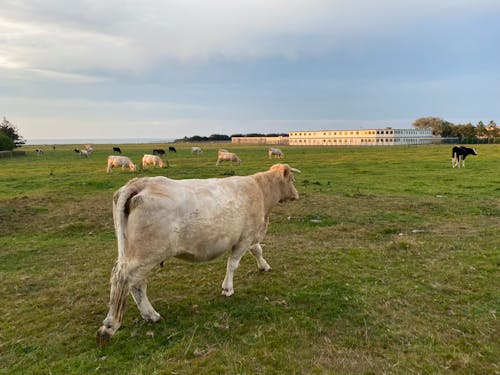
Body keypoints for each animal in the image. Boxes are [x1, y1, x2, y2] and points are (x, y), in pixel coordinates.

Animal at [96, 163, 300, 346]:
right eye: (292, 179)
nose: (297, 194)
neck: (260, 190)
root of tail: (141, 182)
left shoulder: (248, 237)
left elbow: (257, 250)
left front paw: (264, 266)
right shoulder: (245, 237)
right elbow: (233, 264)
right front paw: (227, 288)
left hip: (137, 254)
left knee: (136, 283)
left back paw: (150, 315)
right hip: (145, 255)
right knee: (124, 279)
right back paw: (111, 326)